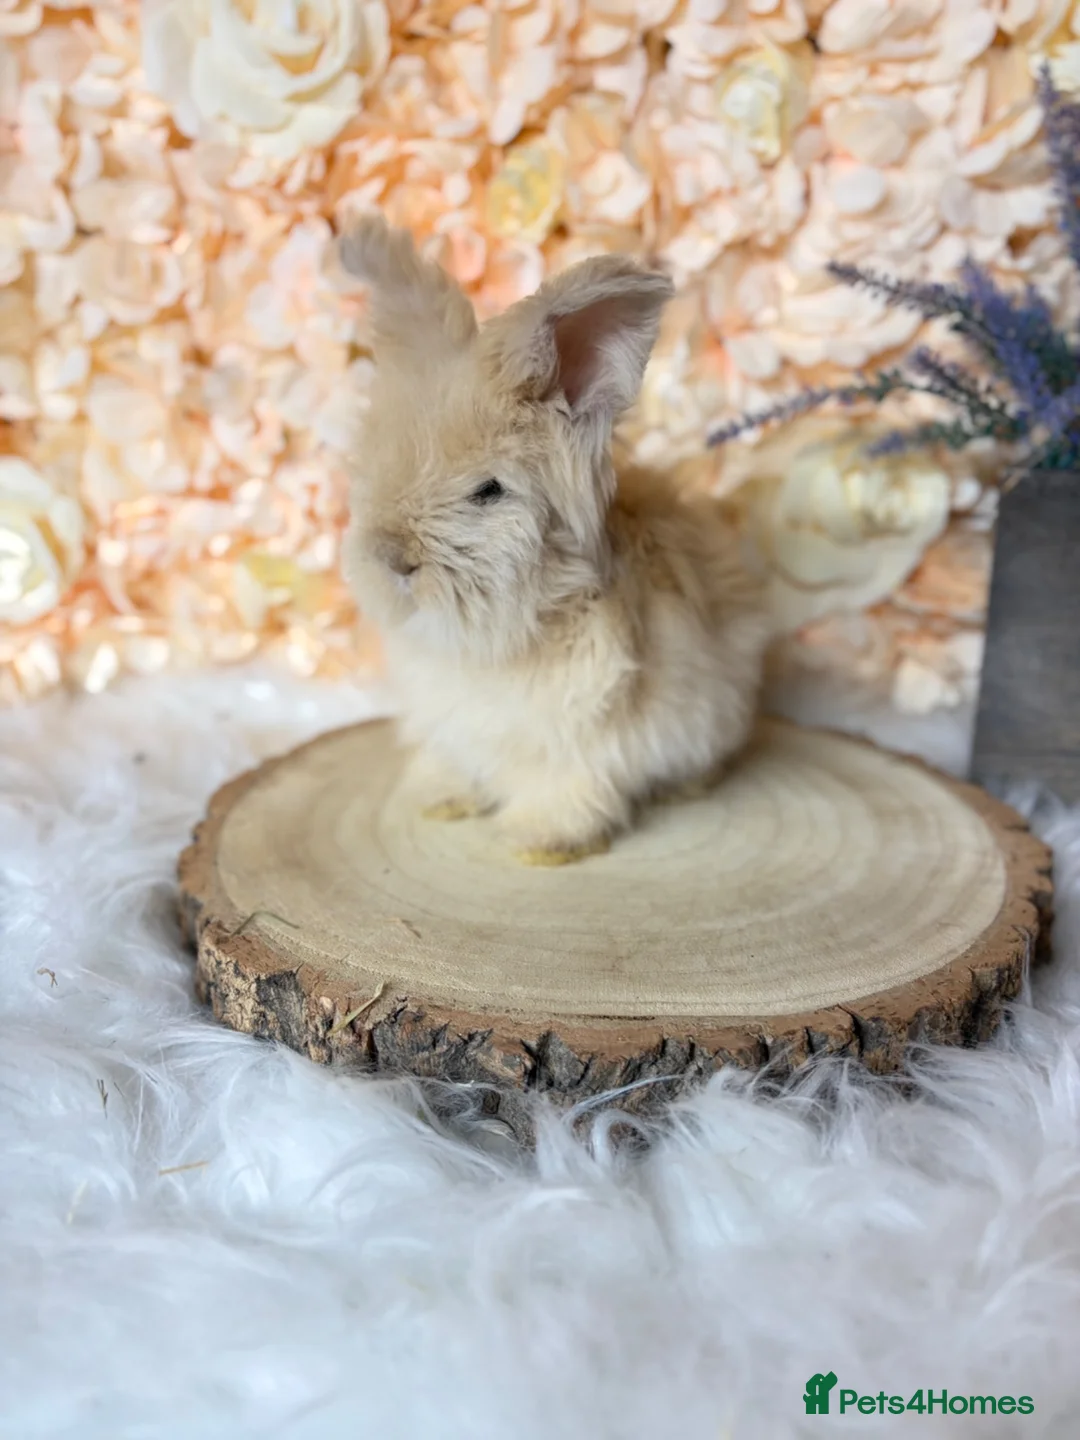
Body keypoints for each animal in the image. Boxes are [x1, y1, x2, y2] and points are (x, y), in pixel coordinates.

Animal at [338, 214, 772, 865]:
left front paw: (540, 842)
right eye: (374, 462)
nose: (392, 561)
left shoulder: (579, 739)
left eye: (488, 490)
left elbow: (566, 788)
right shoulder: (454, 730)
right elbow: (452, 766)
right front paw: (437, 799)